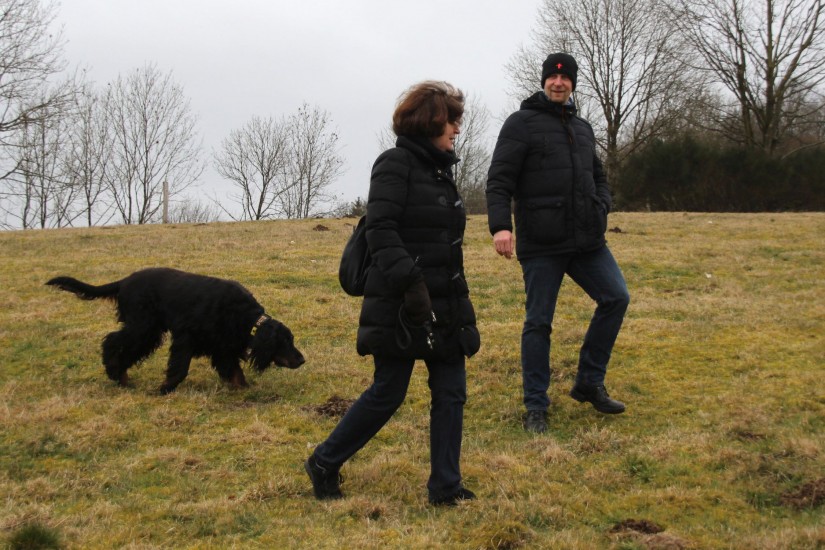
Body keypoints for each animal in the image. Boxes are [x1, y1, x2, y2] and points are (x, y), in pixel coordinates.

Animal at [46, 267, 305, 394]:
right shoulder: (186, 337)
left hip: (148, 330)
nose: (302, 360)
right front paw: (165, 389)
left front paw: (245, 390)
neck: (245, 317)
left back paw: (122, 377)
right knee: (112, 341)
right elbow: (180, 368)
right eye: (286, 342)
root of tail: (124, 281)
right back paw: (115, 372)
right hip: (143, 326)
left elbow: (234, 372)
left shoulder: (222, 346)